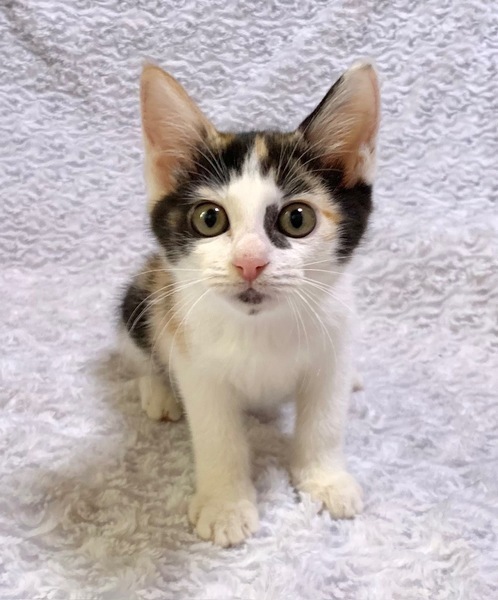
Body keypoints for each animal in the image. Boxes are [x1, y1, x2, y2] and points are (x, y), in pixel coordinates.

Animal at [119, 61, 380, 547]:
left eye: (297, 218)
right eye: (209, 218)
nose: (249, 263)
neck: (262, 327)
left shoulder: (334, 337)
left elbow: (325, 418)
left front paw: (325, 480)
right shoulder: (198, 362)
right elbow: (216, 433)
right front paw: (225, 505)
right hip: (144, 295)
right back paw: (158, 388)